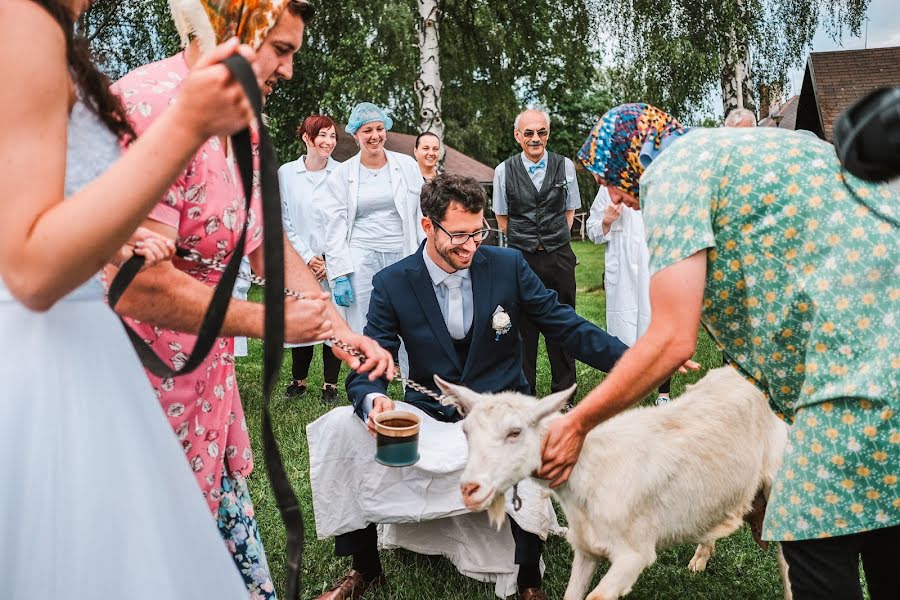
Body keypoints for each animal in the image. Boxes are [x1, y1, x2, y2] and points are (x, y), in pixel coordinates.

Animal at [440, 366, 792, 600]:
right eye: (465, 431)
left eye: (515, 432)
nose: (469, 489)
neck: (590, 469)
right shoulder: (585, 547)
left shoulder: (634, 553)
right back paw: (699, 559)